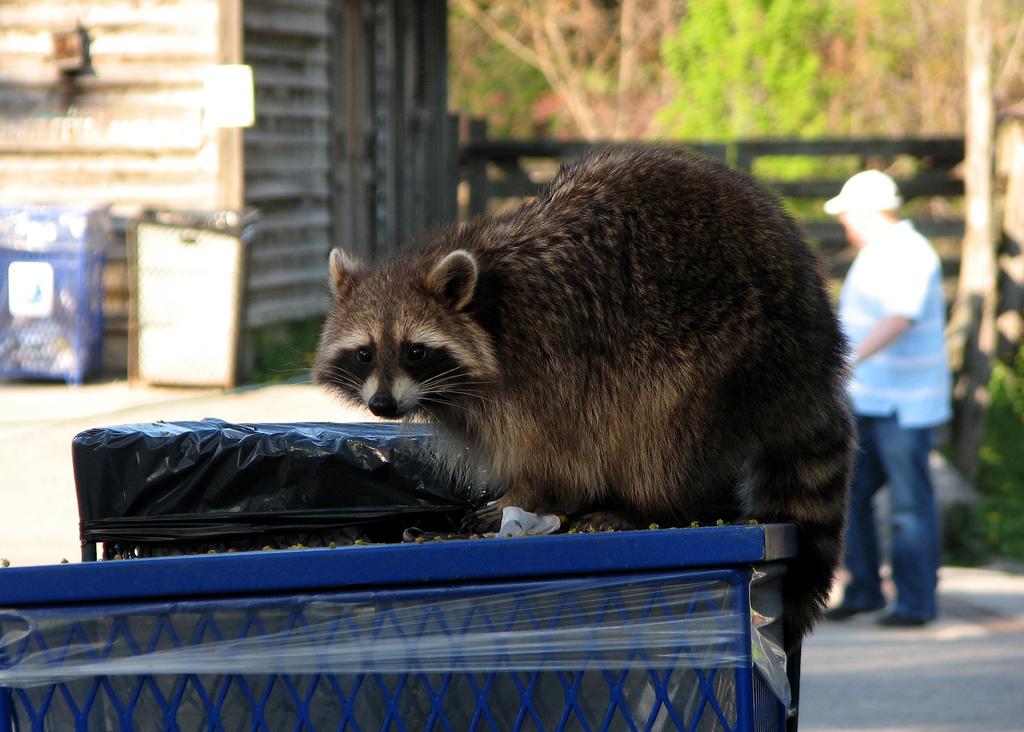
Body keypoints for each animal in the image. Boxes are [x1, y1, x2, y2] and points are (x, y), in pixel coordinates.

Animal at [313, 146, 856, 642]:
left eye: (415, 352)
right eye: (364, 353)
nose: (383, 405)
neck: (486, 306)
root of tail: (817, 363)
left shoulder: (547, 361)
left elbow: (557, 451)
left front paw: (522, 493)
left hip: (728, 351)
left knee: (660, 432)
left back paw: (646, 506)